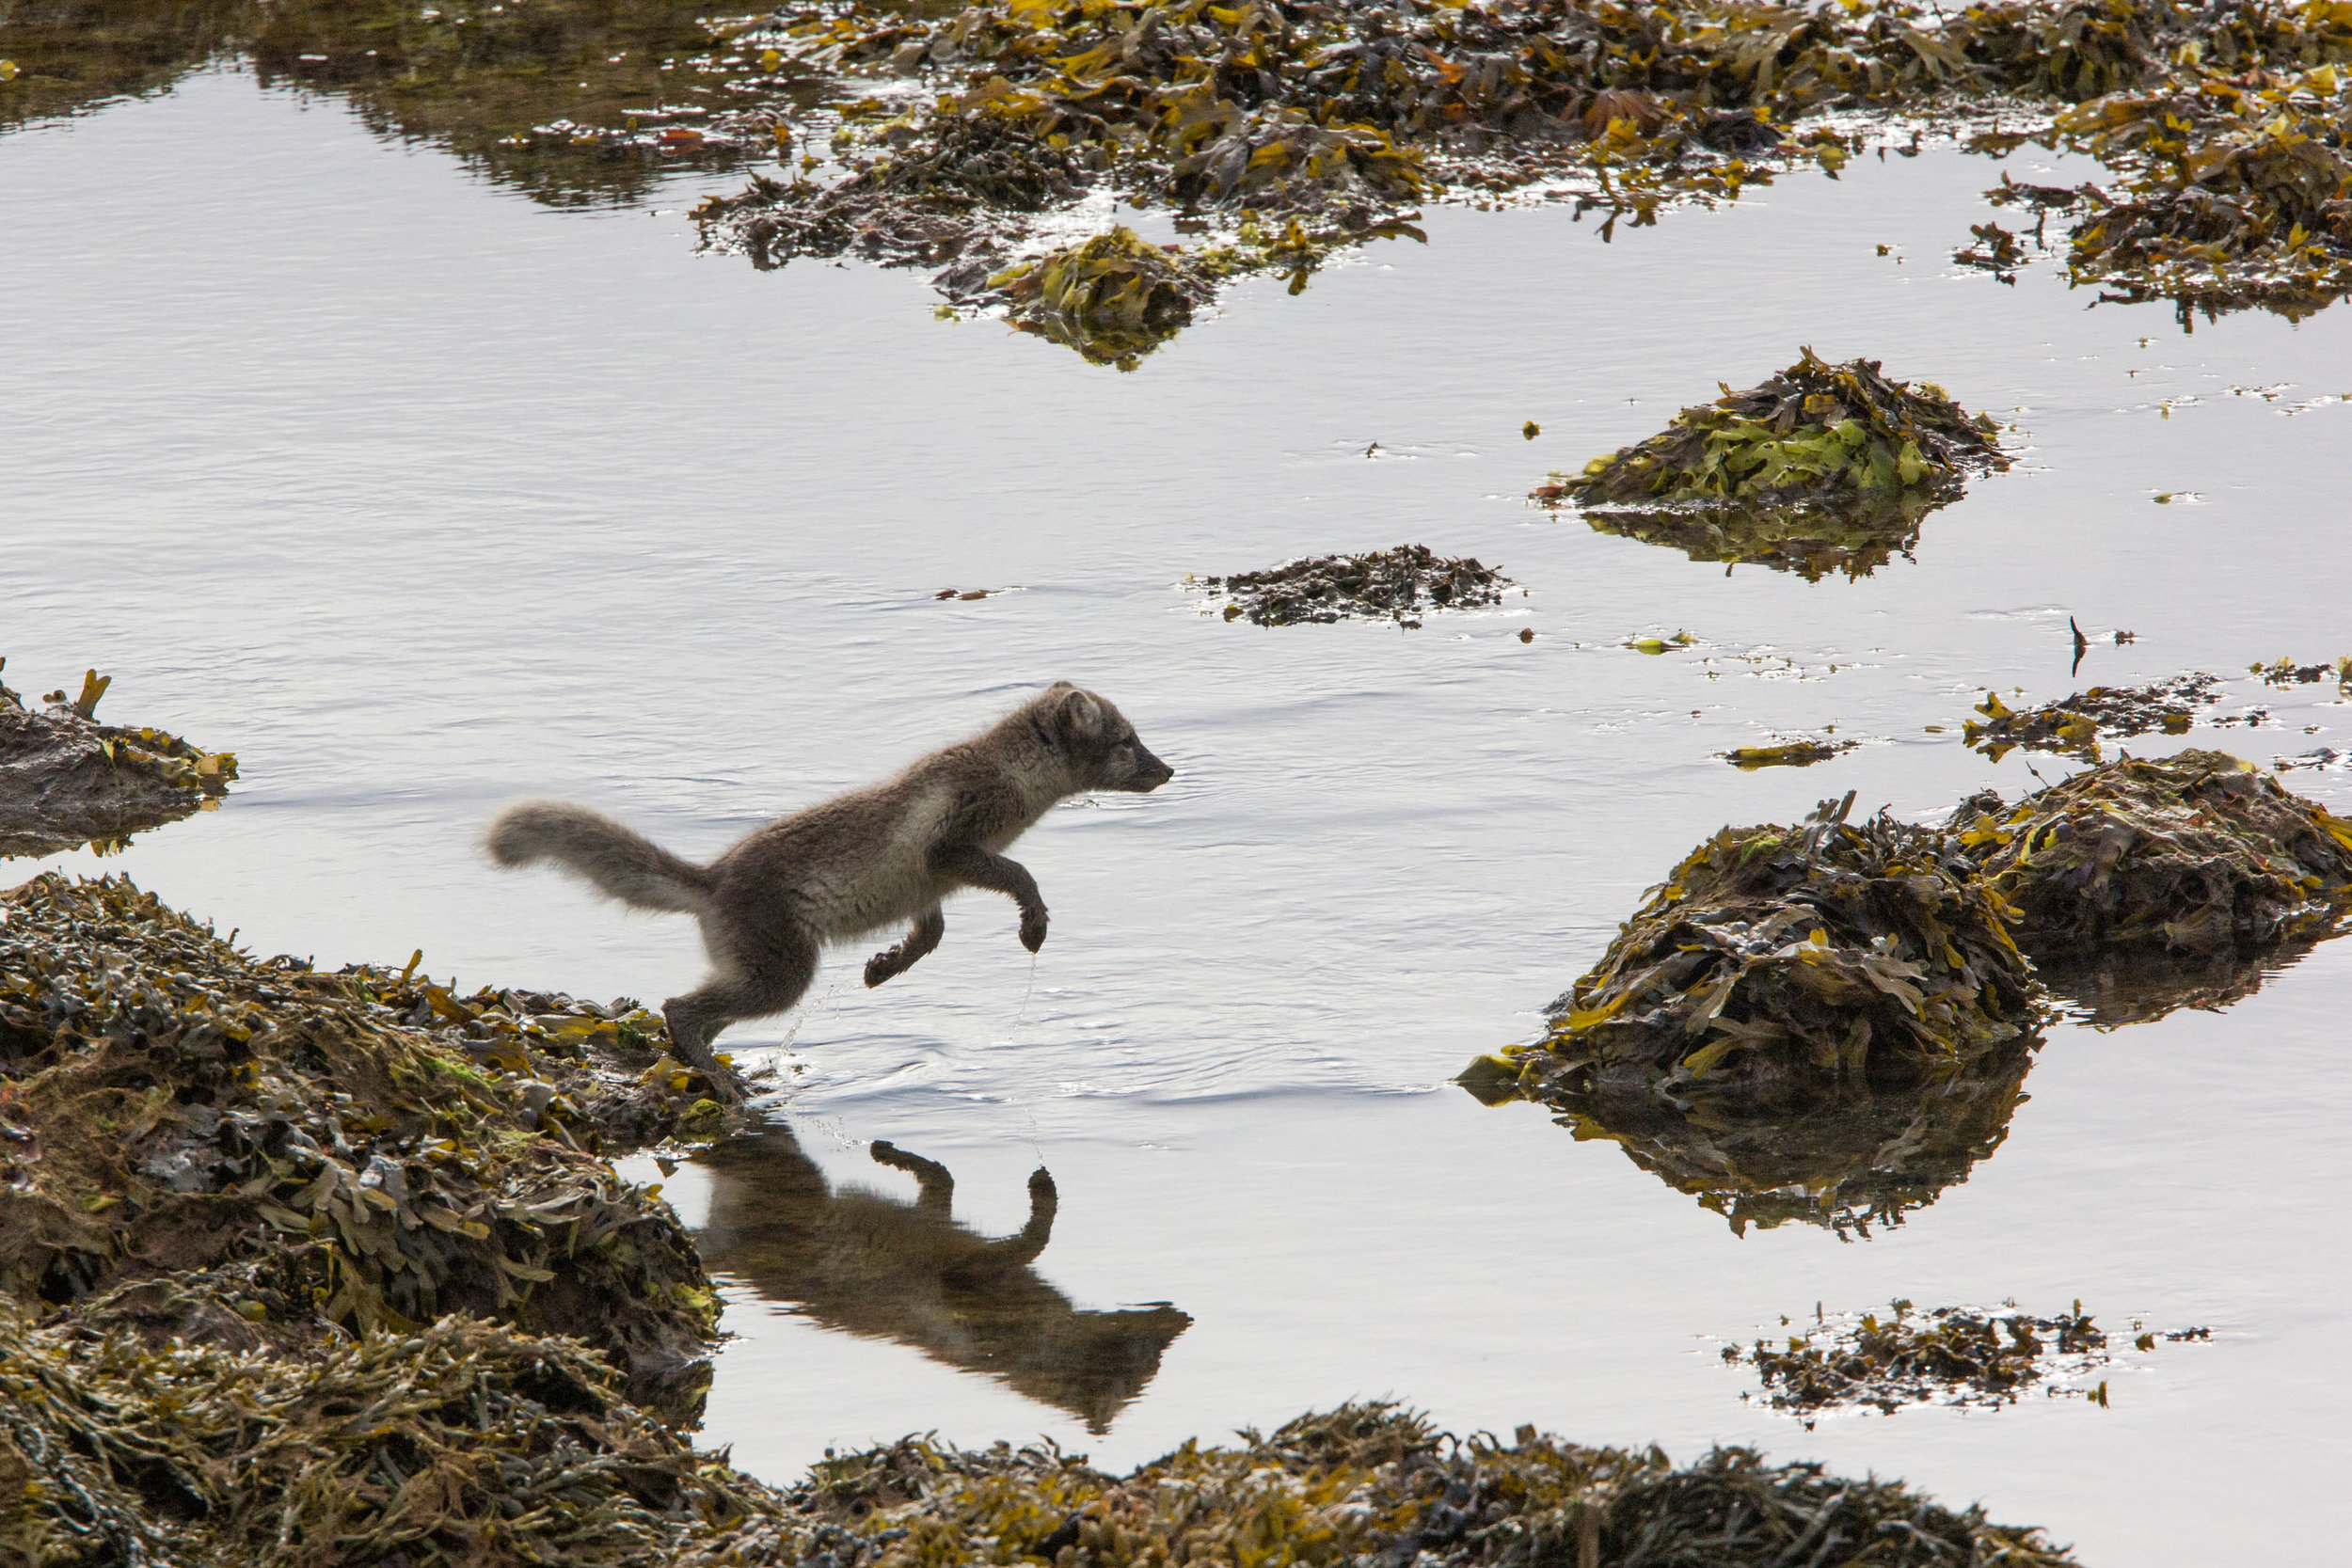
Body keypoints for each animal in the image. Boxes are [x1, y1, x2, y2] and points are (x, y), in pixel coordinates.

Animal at [480, 686, 1176, 1104]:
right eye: (1127, 741)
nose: (1169, 769)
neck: (1012, 781)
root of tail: (714, 877)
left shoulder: (929, 885)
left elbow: (931, 935)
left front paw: (882, 967)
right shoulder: (952, 847)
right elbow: (1020, 875)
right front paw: (1034, 926)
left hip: (753, 971)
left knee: (694, 1012)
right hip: (783, 974)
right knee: (677, 1007)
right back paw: (724, 1083)